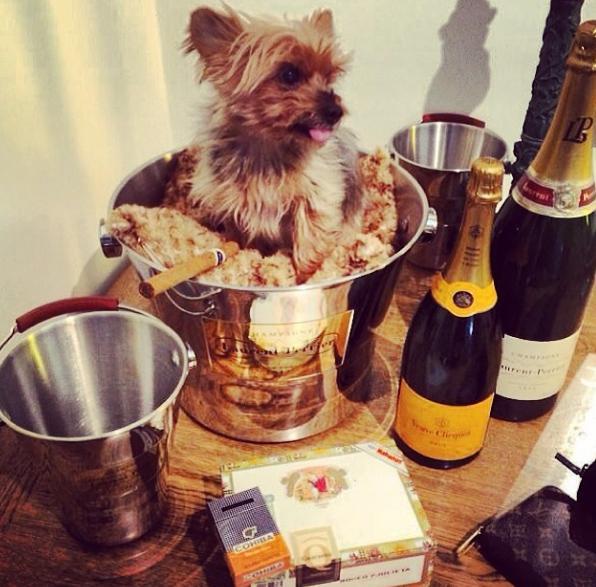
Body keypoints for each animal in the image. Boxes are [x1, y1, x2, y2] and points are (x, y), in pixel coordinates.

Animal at [178, 4, 362, 282]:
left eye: (329, 76)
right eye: (289, 74)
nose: (335, 111)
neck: (268, 147)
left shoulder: (316, 199)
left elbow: (310, 240)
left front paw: (305, 277)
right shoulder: (236, 205)